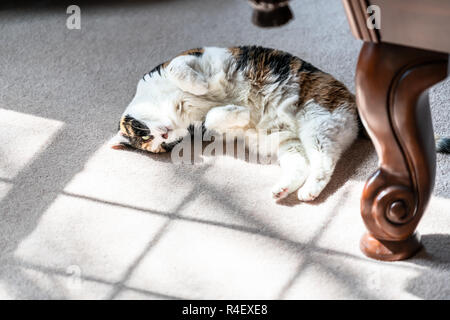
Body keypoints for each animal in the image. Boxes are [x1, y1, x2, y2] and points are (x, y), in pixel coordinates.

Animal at [113, 45, 450, 201]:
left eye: (147, 136)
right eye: (163, 145)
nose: (166, 135)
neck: (179, 108)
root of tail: (356, 105)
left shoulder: (189, 57)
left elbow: (185, 73)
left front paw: (205, 86)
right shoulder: (208, 127)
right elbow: (215, 116)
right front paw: (240, 112)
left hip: (317, 123)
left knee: (324, 163)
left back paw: (307, 192)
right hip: (289, 142)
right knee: (308, 166)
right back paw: (287, 190)